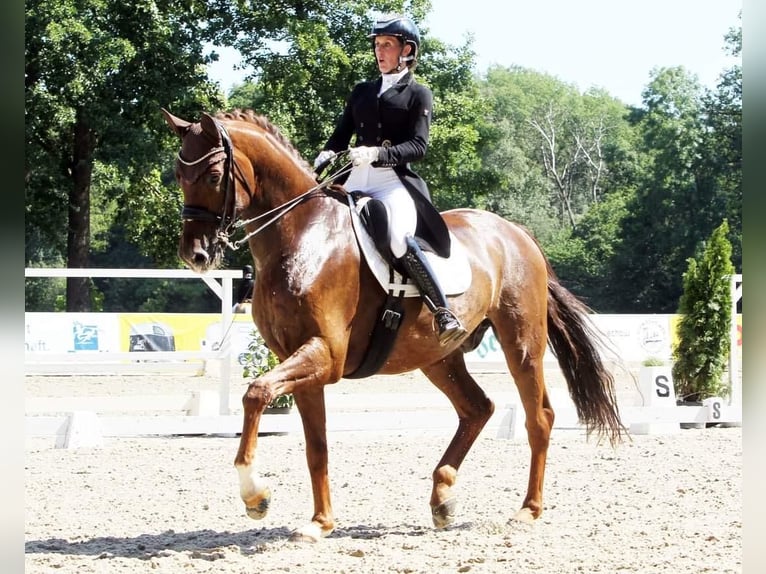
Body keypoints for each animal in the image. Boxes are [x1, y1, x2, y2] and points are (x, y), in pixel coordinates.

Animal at [161, 108, 626, 542]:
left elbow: (256, 394)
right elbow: (316, 445)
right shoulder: (303, 362)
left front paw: (255, 494)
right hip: (437, 356)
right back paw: (442, 497)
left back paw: (528, 509)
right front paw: (320, 522)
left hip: (521, 343)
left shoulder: (324, 355)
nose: (195, 255)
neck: (302, 236)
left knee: (539, 416)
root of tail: (516, 232)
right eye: (179, 175)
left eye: (214, 174)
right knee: (478, 408)